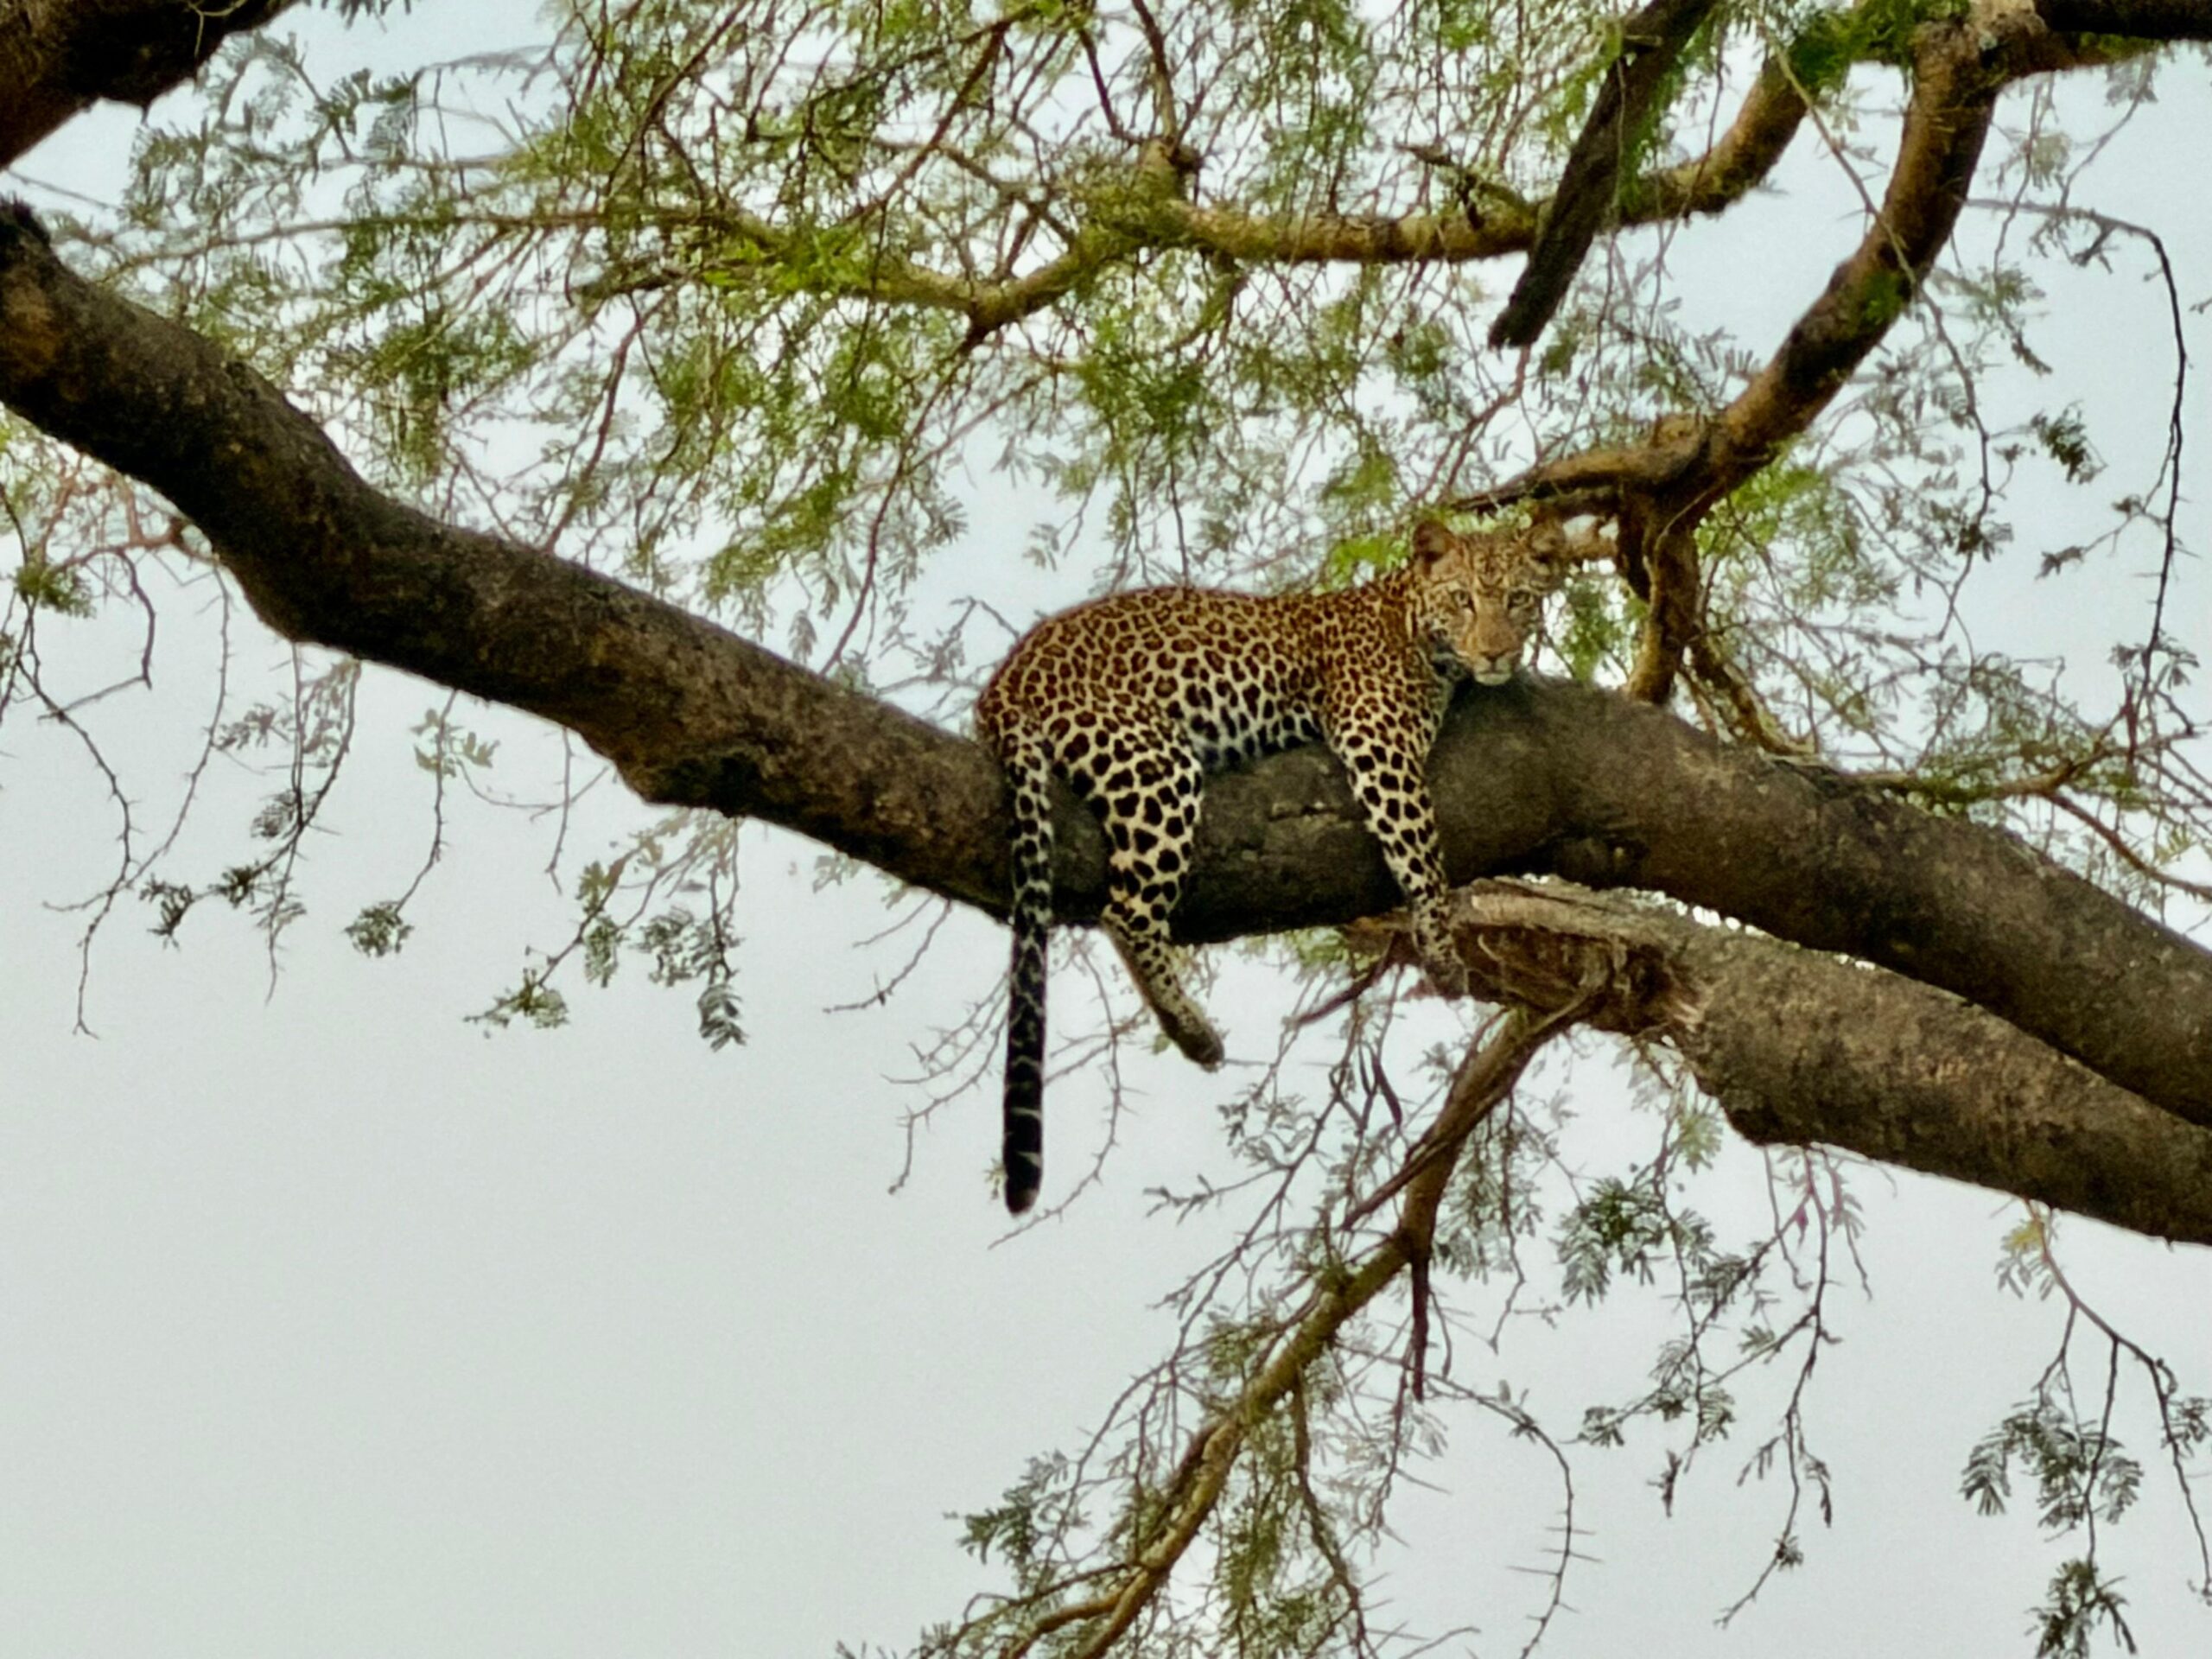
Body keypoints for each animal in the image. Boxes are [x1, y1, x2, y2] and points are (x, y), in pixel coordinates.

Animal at [975, 518, 1574, 1214]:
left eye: (1518, 600)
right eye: (1463, 601)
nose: (1498, 655)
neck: (1406, 617)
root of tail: (1007, 676)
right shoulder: (1378, 738)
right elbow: (1422, 847)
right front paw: (1442, 949)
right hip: (1153, 764)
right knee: (1125, 912)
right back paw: (1191, 1030)